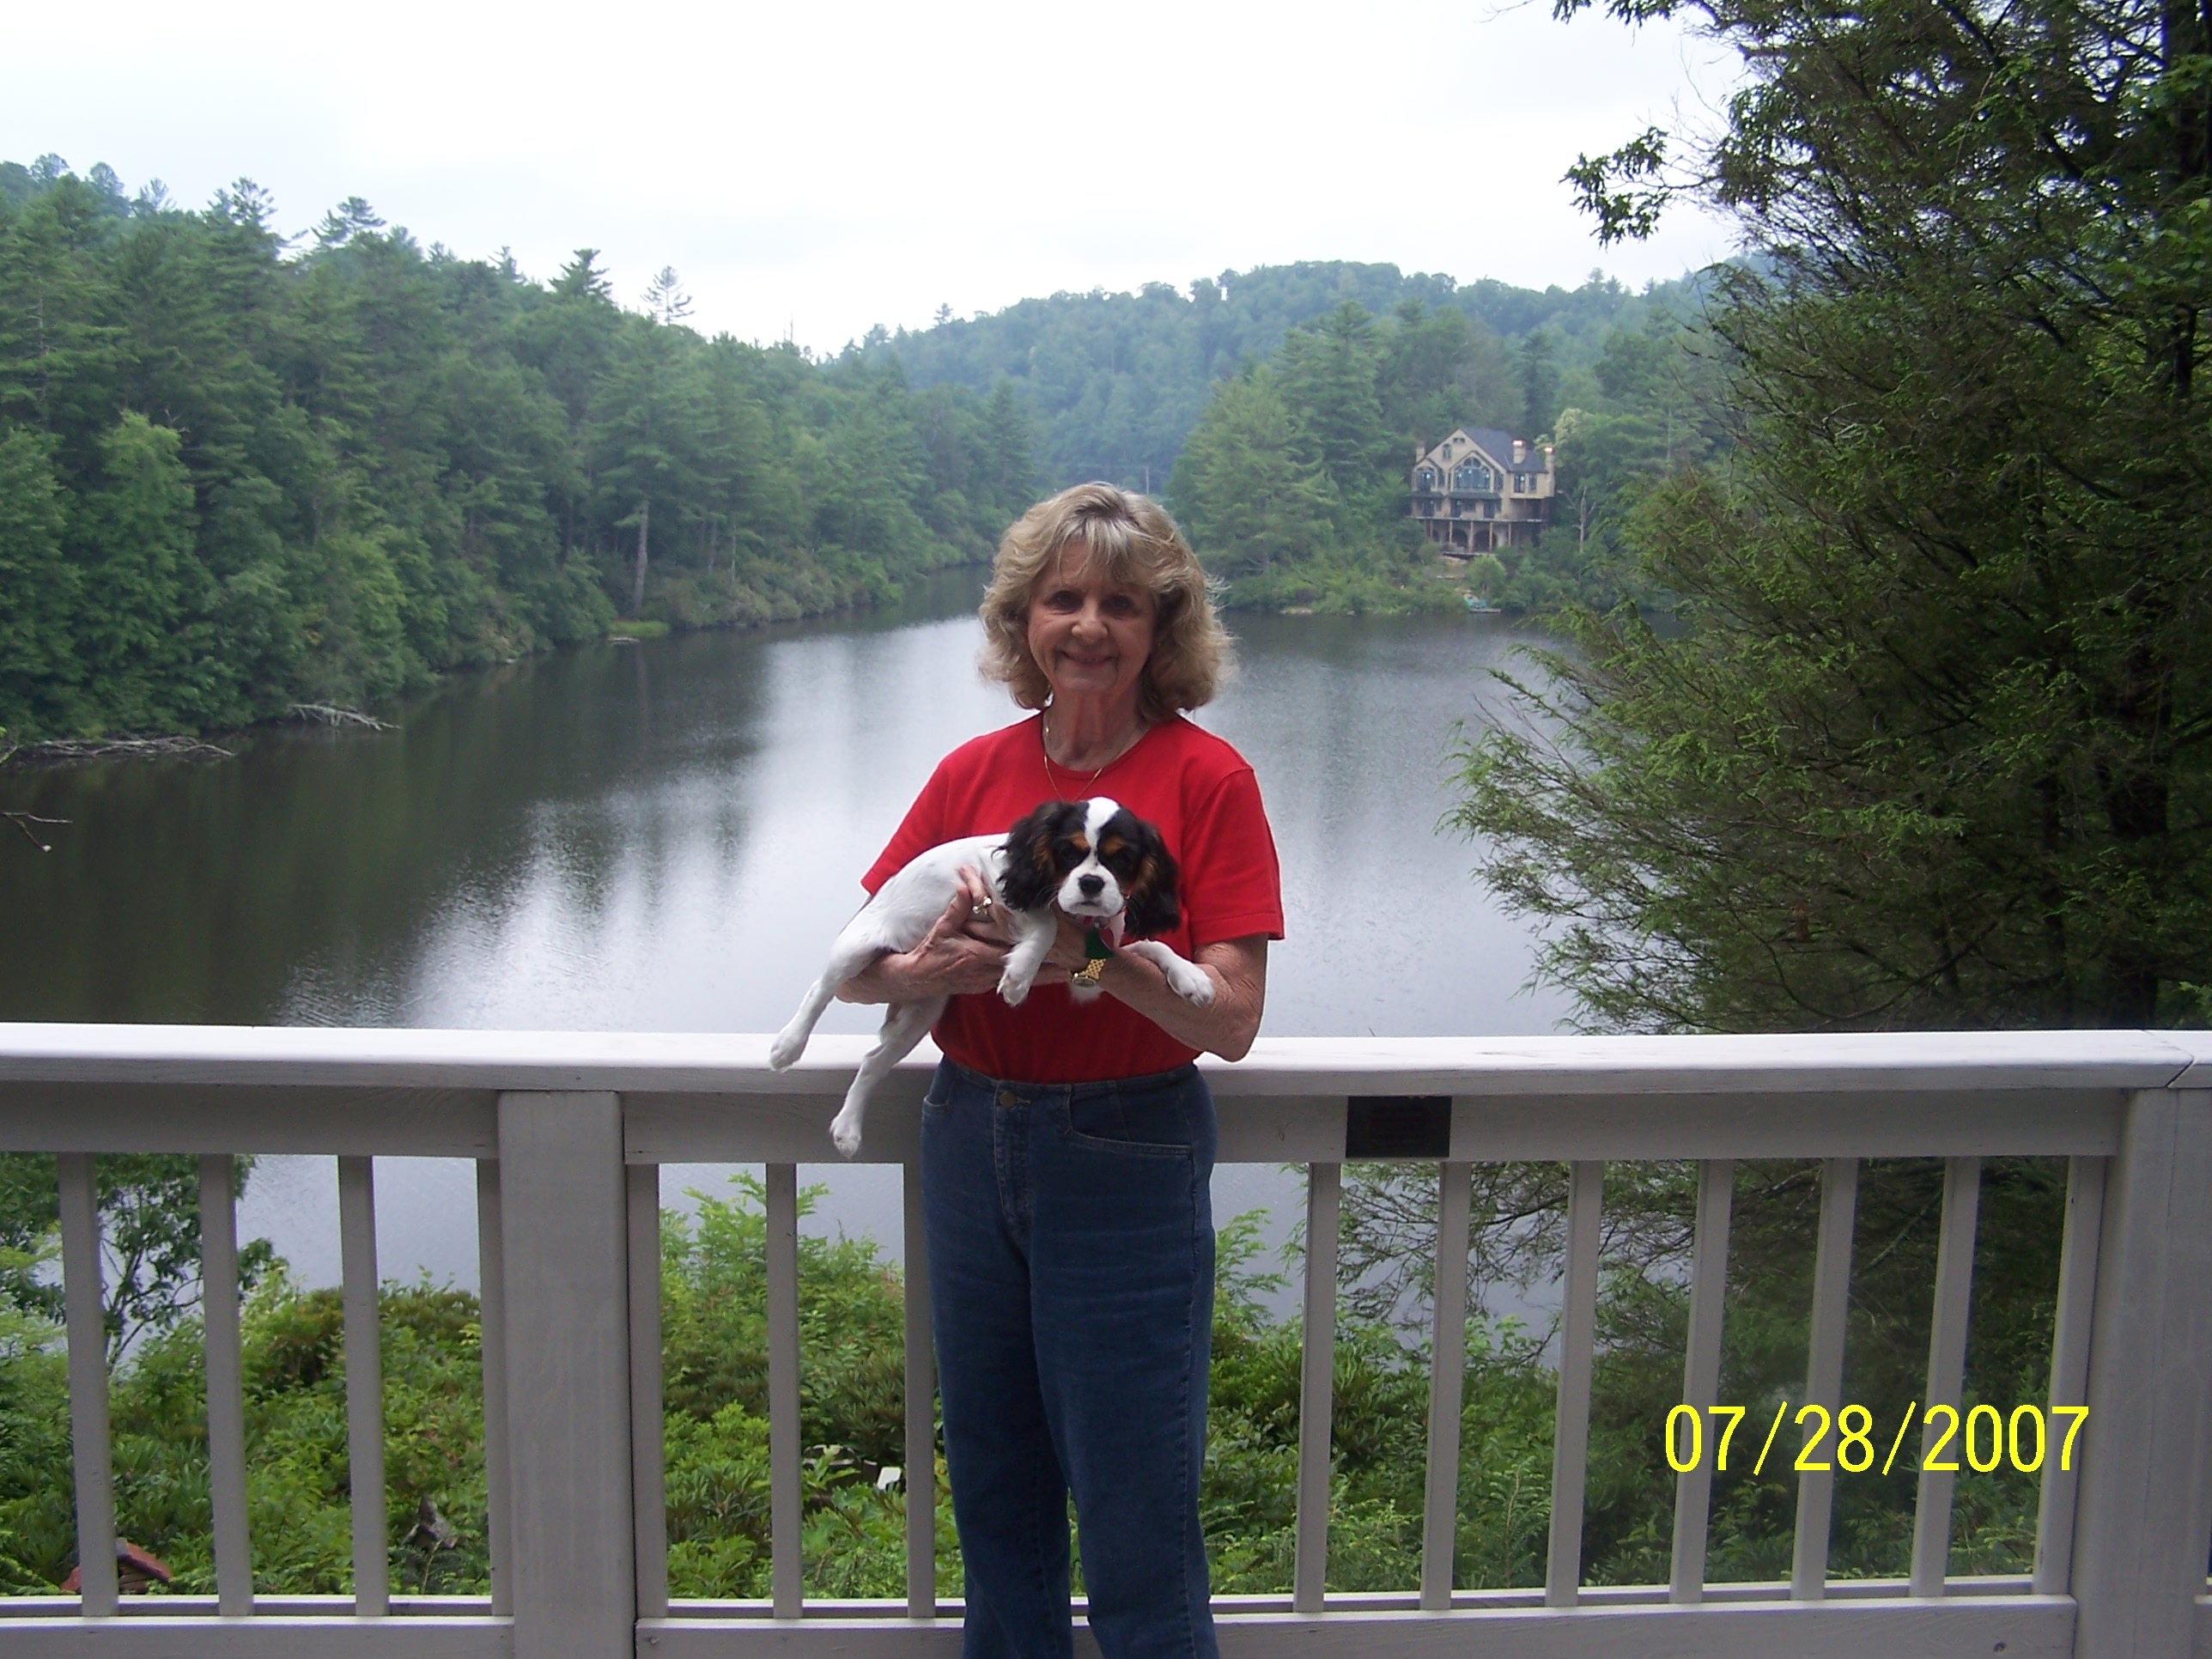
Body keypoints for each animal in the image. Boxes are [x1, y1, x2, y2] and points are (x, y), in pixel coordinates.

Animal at [770, 797, 1216, 1156]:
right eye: (1068, 854)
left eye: (1121, 859)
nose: (1091, 883)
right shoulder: (997, 887)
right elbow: (1045, 923)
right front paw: (1019, 975)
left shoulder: (1088, 978)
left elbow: (1152, 948)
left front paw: (1191, 978)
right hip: (856, 949)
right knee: (820, 989)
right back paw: (788, 1046)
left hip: (923, 1011)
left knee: (872, 1063)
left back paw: (848, 1128)